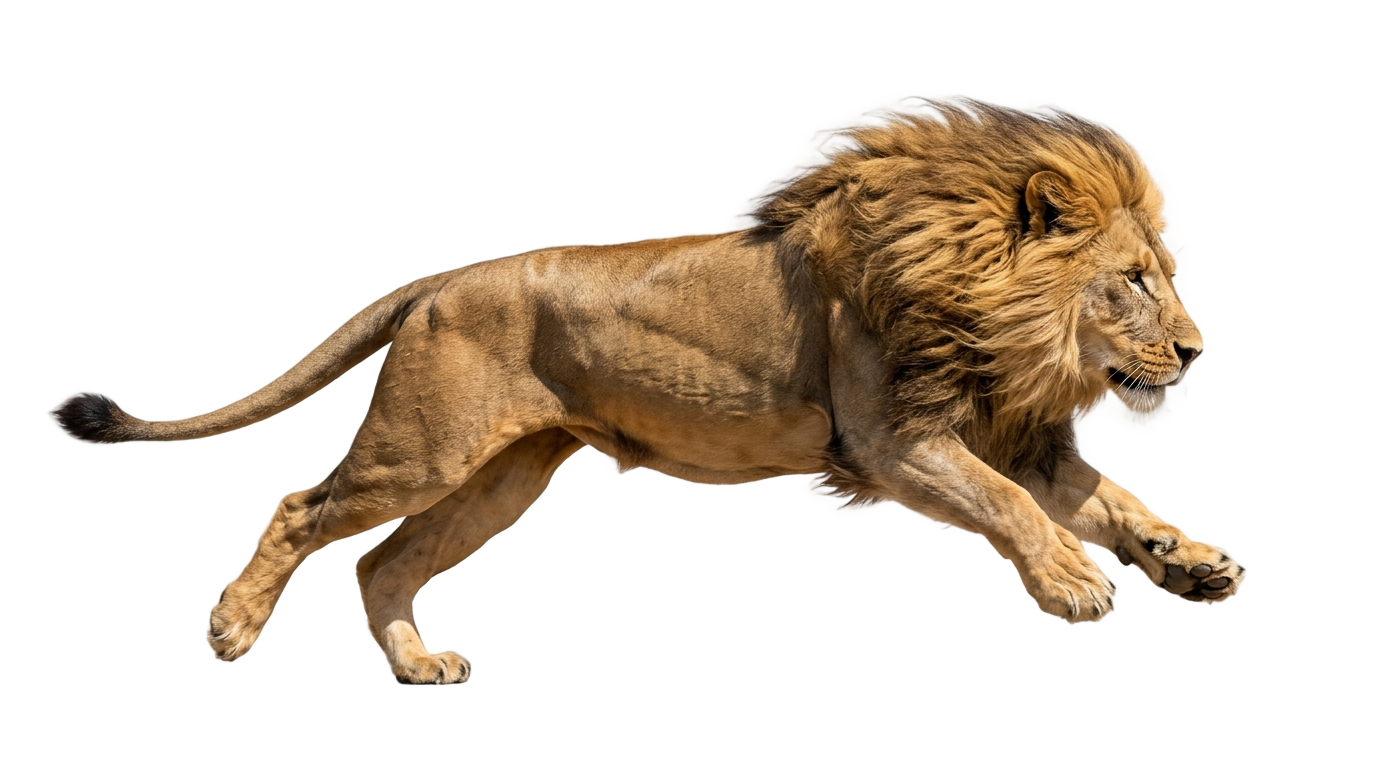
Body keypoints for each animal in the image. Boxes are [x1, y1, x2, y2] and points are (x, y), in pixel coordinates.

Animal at [55, 99, 1240, 685]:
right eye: (1134, 280)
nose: (1194, 354)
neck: (992, 315)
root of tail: (441, 281)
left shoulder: (1001, 428)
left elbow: (1100, 492)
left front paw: (1188, 557)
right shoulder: (891, 439)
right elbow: (1013, 508)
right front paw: (1072, 581)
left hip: (506, 475)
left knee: (384, 562)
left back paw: (420, 663)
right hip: (422, 447)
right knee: (305, 509)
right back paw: (233, 628)